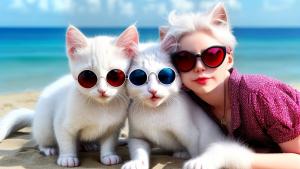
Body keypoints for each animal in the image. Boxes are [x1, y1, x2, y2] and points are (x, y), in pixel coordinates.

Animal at [0, 25, 138, 168]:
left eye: (115, 75)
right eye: (87, 76)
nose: (102, 90)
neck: (101, 107)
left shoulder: (113, 127)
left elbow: (109, 142)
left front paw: (108, 156)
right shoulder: (62, 124)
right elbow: (66, 143)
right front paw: (67, 158)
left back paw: (90, 145)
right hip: (44, 127)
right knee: (43, 140)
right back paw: (48, 148)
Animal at [120, 43, 252, 169]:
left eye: (165, 77)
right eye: (139, 78)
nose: (153, 90)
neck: (155, 110)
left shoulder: (190, 133)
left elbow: (194, 150)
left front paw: (194, 160)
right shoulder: (137, 137)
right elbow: (138, 152)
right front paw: (136, 163)